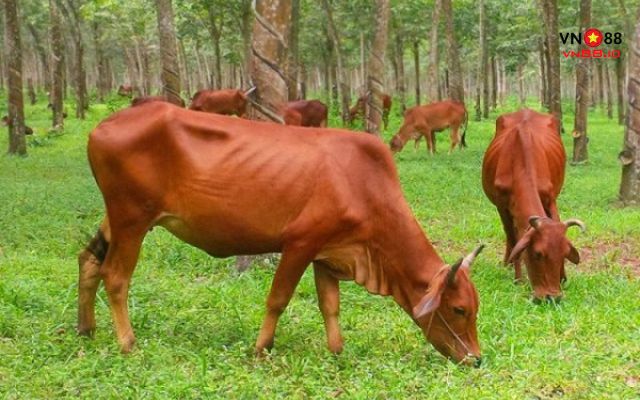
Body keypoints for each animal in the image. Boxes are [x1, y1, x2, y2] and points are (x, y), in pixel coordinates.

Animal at [77, 101, 482, 366]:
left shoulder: (328, 253)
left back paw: (86, 330)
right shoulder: (300, 243)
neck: (364, 186)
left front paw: (337, 351)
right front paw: (261, 348)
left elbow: (330, 305)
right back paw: (127, 343)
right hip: (132, 219)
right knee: (115, 277)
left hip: (117, 218)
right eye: (459, 309)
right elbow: (278, 299)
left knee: (89, 261)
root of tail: (100, 128)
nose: (476, 359)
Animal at [480, 108, 584, 302]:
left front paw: (563, 277)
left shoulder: (550, 199)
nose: (552, 297)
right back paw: (507, 263)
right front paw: (518, 279)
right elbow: (514, 240)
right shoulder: (501, 206)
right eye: (537, 254)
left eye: (564, 253)